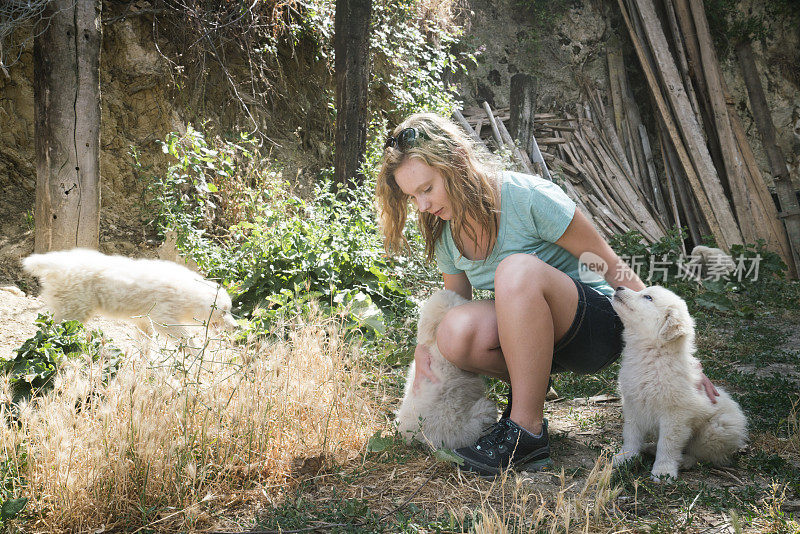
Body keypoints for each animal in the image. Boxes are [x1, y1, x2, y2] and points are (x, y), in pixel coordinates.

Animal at [22, 248, 238, 344]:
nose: (236, 327)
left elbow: (144, 346)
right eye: (224, 312)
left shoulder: (144, 322)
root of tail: (55, 264)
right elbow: (187, 341)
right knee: (54, 329)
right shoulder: (164, 320)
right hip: (74, 311)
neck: (190, 296)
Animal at [612, 286, 752, 484]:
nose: (619, 287)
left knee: (702, 455)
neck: (651, 355)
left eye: (648, 297)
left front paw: (663, 471)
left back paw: (683, 461)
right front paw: (626, 457)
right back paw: (650, 448)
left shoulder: (675, 415)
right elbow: (631, 435)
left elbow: (668, 444)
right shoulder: (633, 405)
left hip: (717, 429)